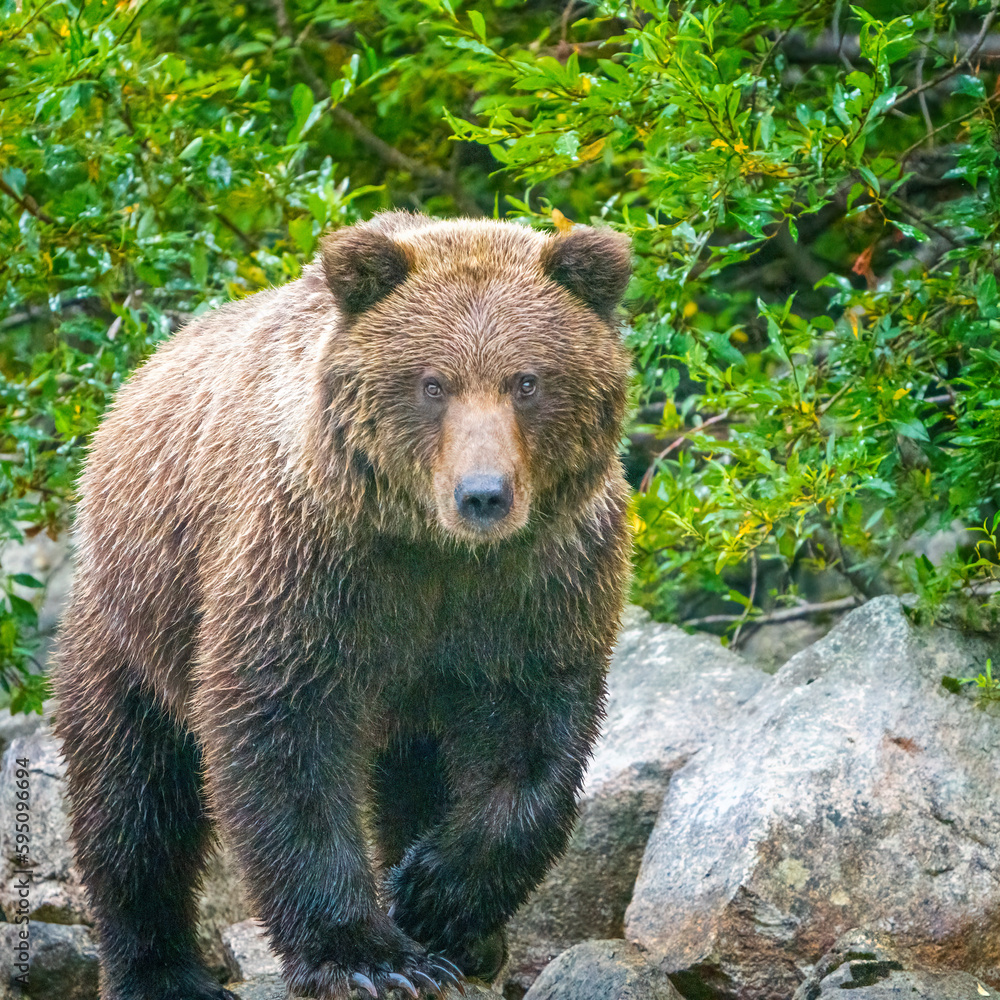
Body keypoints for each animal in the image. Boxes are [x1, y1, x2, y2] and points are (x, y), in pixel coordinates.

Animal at [52, 215, 632, 1000]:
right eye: (432, 383)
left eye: (527, 381)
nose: (483, 495)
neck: (435, 549)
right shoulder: (313, 564)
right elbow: (284, 734)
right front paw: (371, 956)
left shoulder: (536, 584)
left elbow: (530, 743)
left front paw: (434, 898)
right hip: (136, 615)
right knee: (134, 794)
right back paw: (161, 969)